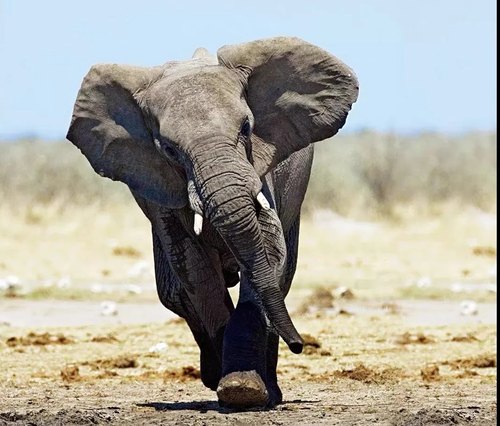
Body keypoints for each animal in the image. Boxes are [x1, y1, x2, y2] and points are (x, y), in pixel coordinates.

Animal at [66, 36, 358, 406]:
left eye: (246, 128)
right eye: (169, 150)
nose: (300, 345)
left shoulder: (260, 169)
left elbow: (268, 254)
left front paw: (245, 391)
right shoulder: (160, 185)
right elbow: (195, 270)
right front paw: (234, 387)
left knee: (281, 279)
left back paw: (270, 389)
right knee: (174, 294)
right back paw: (212, 374)